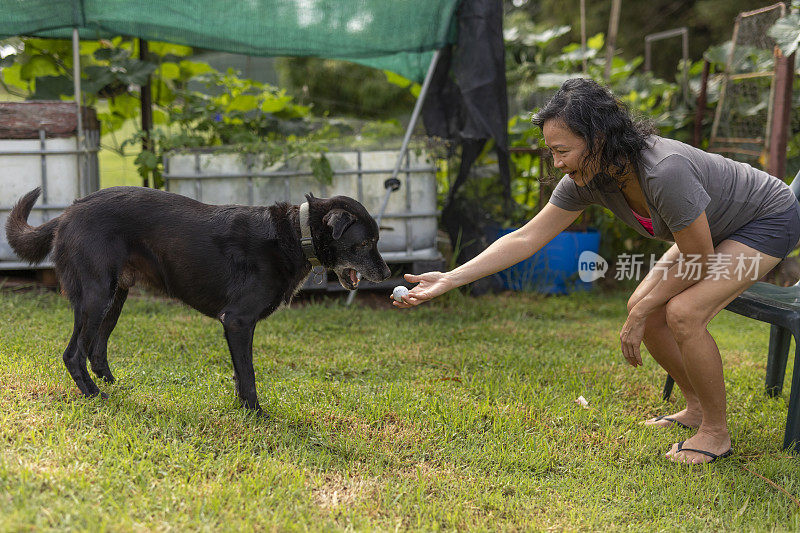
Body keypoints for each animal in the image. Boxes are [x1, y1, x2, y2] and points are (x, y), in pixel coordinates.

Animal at [7, 187, 390, 412]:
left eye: (375, 240)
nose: (387, 274)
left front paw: (242, 408)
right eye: (366, 243)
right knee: (73, 353)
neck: (297, 234)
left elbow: (239, 373)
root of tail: (68, 212)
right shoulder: (237, 321)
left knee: (94, 349)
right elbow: (248, 373)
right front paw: (255, 414)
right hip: (96, 295)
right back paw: (94, 396)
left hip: (115, 297)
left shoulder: (237, 327)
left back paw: (113, 385)